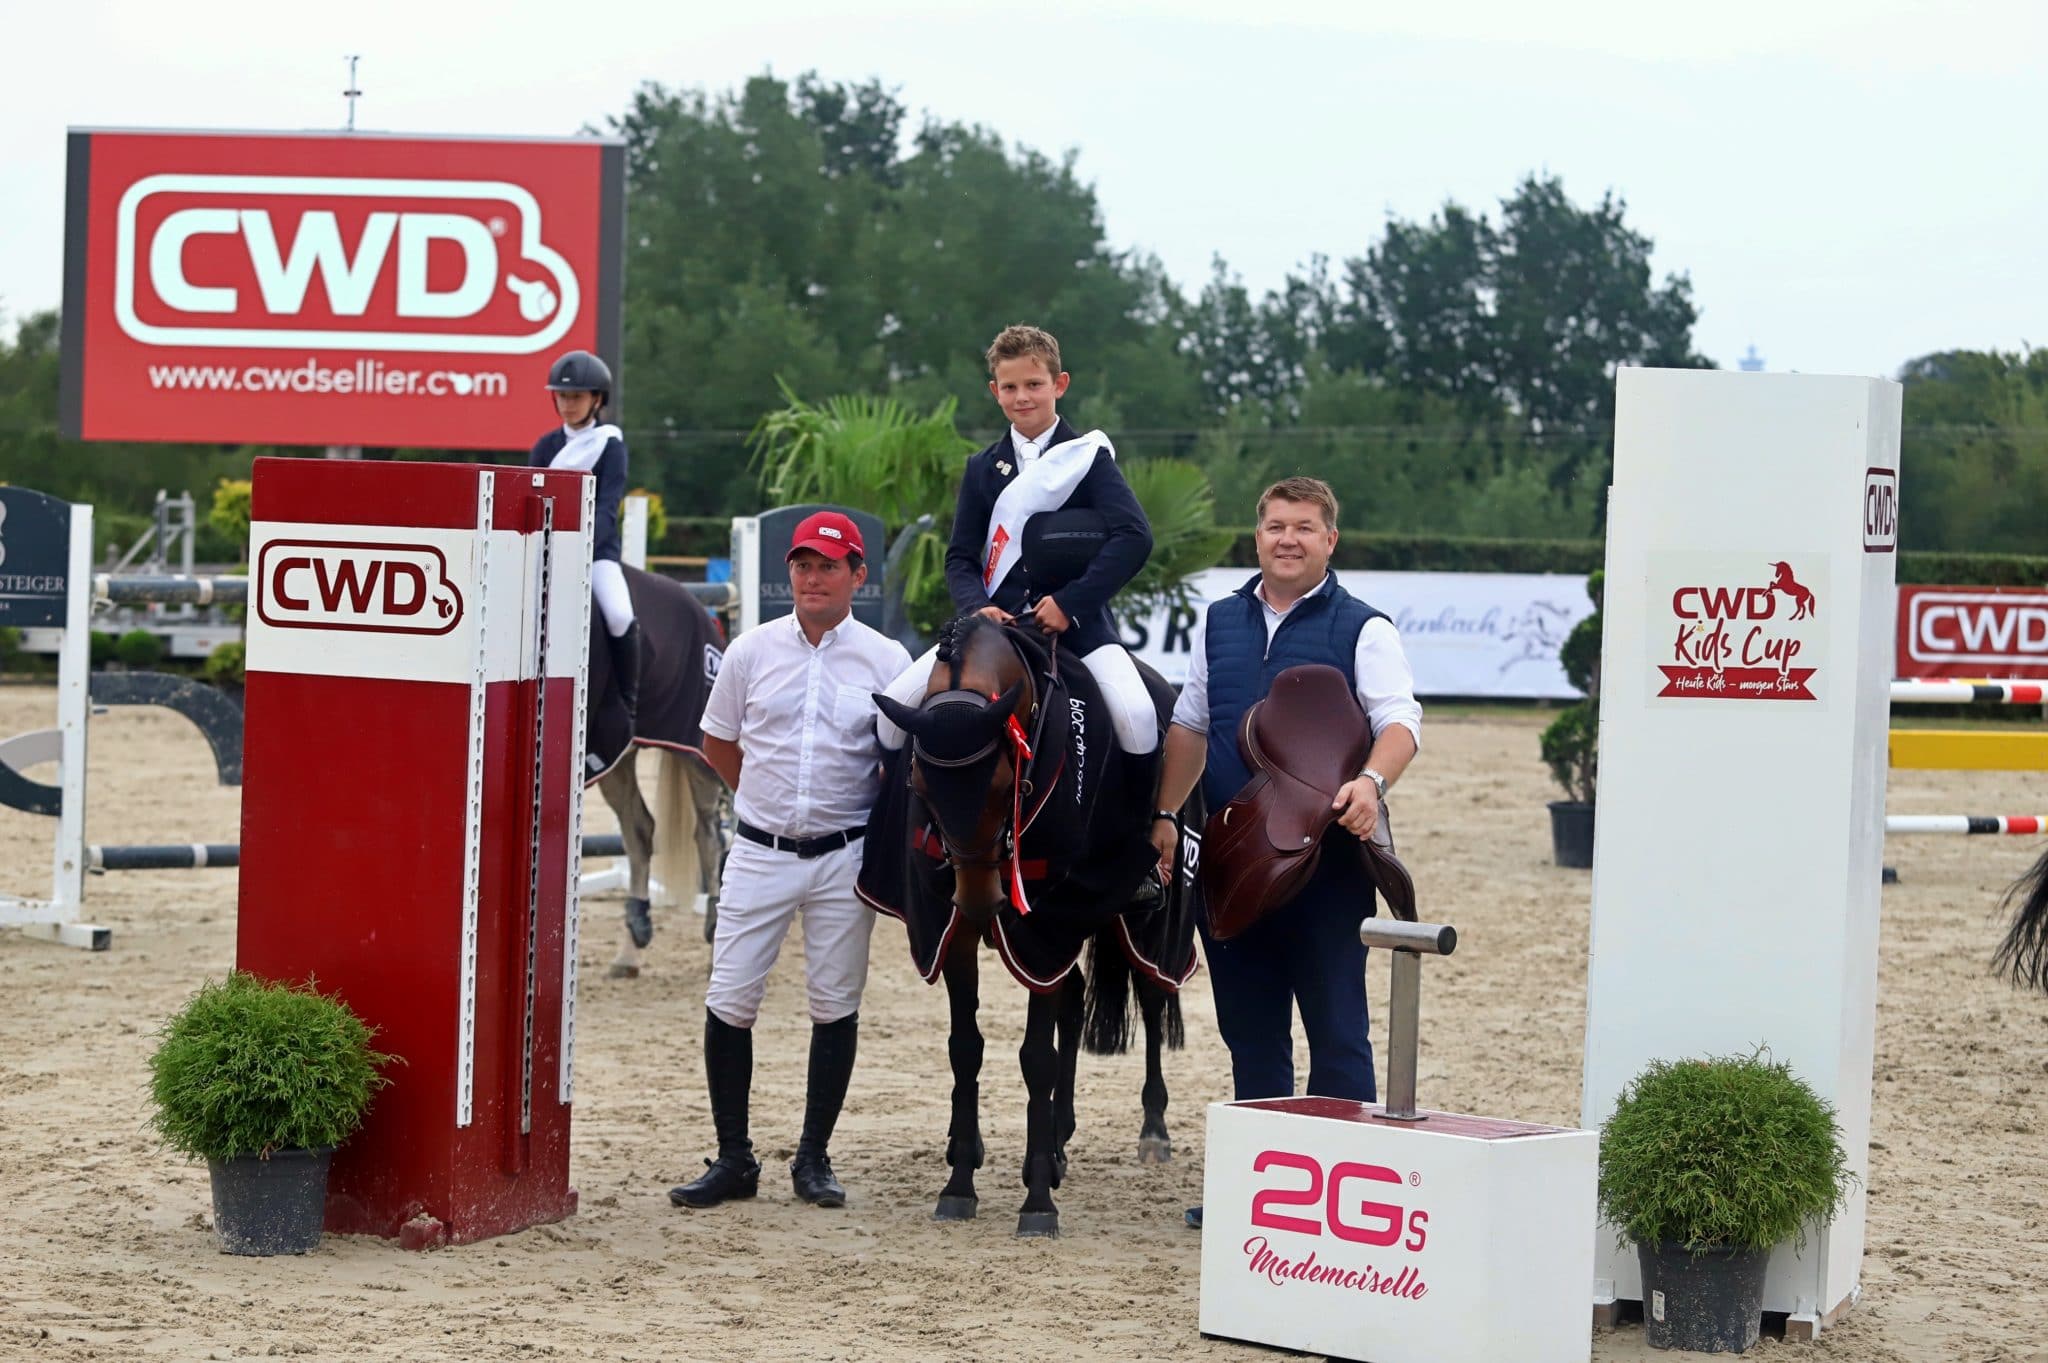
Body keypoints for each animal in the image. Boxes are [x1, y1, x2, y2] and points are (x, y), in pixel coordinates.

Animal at [578, 564, 733, 976]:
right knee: (640, 831)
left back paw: (716, 941)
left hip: (698, 753)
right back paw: (629, 950)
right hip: (619, 758)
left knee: (710, 836)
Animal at [863, 612, 1200, 1237]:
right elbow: (965, 1048)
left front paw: (1038, 1203)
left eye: (1003, 783)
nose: (980, 903)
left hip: (1139, 919)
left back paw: (1151, 1131)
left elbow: (1035, 1059)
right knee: (1072, 999)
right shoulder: (958, 934)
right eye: (919, 786)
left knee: (1148, 994)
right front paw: (960, 1183)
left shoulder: (1046, 921)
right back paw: (1056, 1138)